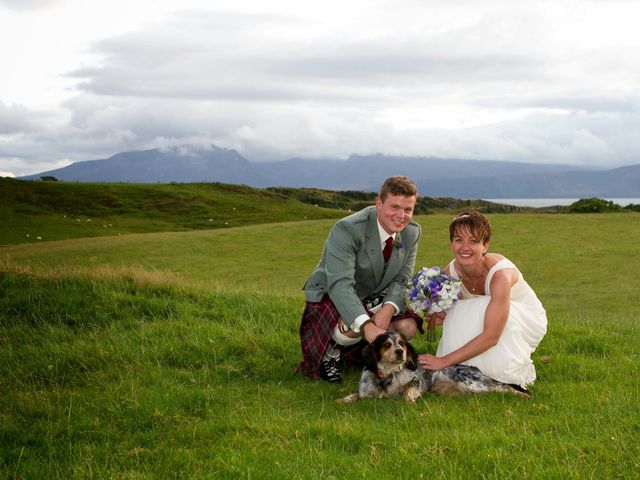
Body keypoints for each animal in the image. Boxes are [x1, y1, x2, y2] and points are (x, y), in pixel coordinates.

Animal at [340, 332, 528, 404]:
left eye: (402, 343)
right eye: (387, 345)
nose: (401, 351)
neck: (388, 375)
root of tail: (475, 368)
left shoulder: (416, 380)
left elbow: (408, 391)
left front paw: (410, 400)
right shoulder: (367, 393)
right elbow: (355, 395)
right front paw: (342, 400)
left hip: (474, 383)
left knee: (504, 387)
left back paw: (522, 395)